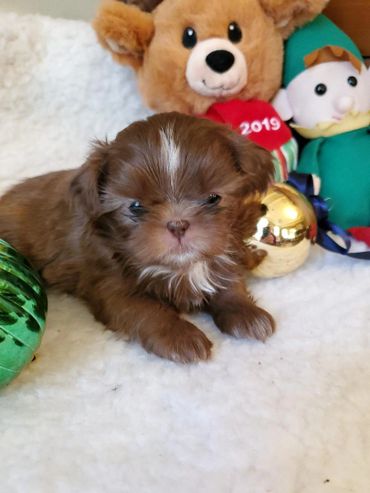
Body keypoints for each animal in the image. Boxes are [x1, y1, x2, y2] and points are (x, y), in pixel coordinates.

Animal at [0, 113, 274, 364]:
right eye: (136, 206)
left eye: (213, 198)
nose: (178, 224)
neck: (181, 266)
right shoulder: (109, 285)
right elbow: (147, 309)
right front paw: (181, 337)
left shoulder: (224, 248)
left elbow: (229, 282)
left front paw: (248, 314)